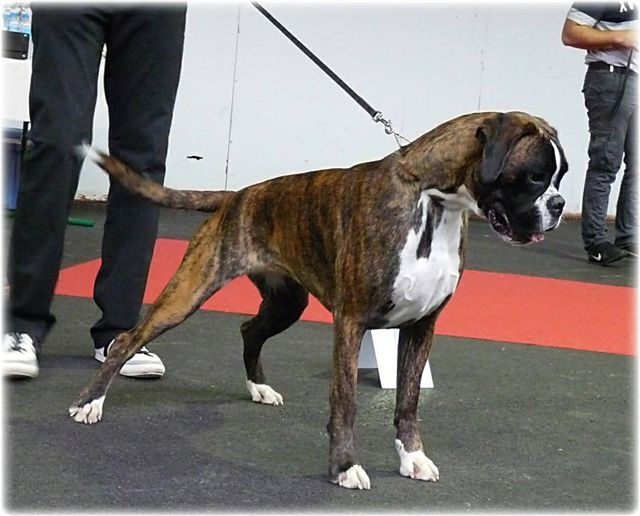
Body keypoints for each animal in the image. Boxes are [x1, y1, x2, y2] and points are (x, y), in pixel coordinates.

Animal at [69, 111, 568, 490]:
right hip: (190, 290)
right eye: (535, 177)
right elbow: (345, 402)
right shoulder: (351, 323)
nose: (560, 205)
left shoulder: (421, 327)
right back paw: (90, 402)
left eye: (558, 177)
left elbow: (408, 403)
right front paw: (345, 467)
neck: (433, 202)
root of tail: (237, 195)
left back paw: (259, 387)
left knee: (249, 330)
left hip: (286, 304)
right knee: (128, 339)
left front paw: (412, 459)